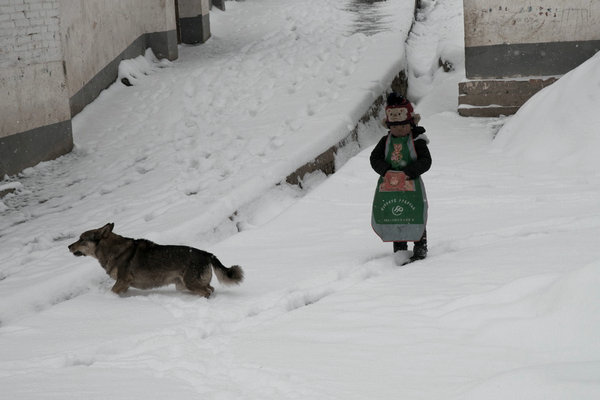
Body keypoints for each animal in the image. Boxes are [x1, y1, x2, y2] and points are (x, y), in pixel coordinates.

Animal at [67, 222, 241, 296]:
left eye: (81, 239)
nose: (68, 246)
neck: (112, 250)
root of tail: (207, 253)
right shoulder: (125, 285)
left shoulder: (122, 281)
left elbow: (112, 290)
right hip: (184, 285)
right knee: (211, 289)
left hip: (190, 284)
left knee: (207, 291)